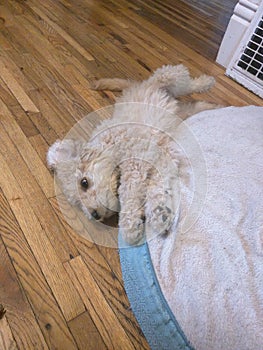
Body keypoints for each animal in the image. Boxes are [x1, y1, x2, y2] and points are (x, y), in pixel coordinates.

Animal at [48, 64, 221, 243]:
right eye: (77, 202)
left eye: (84, 183)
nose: (94, 215)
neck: (108, 144)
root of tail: (138, 84)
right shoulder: (161, 160)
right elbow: (156, 189)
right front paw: (159, 214)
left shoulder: (135, 166)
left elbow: (129, 193)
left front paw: (129, 226)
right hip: (180, 110)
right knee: (194, 104)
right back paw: (212, 106)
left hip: (168, 76)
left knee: (187, 84)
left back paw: (207, 82)